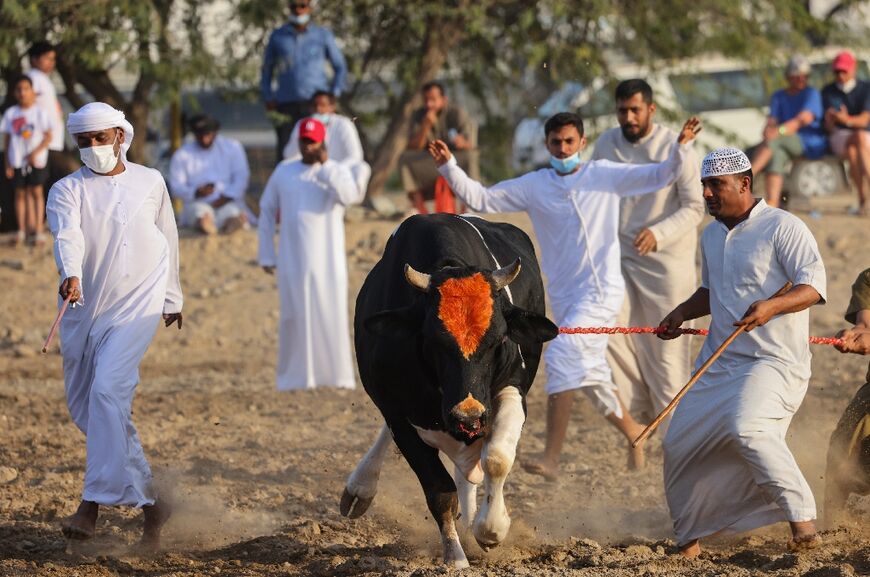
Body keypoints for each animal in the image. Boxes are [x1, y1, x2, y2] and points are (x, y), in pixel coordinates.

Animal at [342, 214, 560, 564]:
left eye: (497, 340)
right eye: (434, 341)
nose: (468, 416)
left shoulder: (511, 390)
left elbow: (496, 457)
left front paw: (490, 529)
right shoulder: (398, 413)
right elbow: (440, 490)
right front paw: (455, 557)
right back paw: (359, 488)